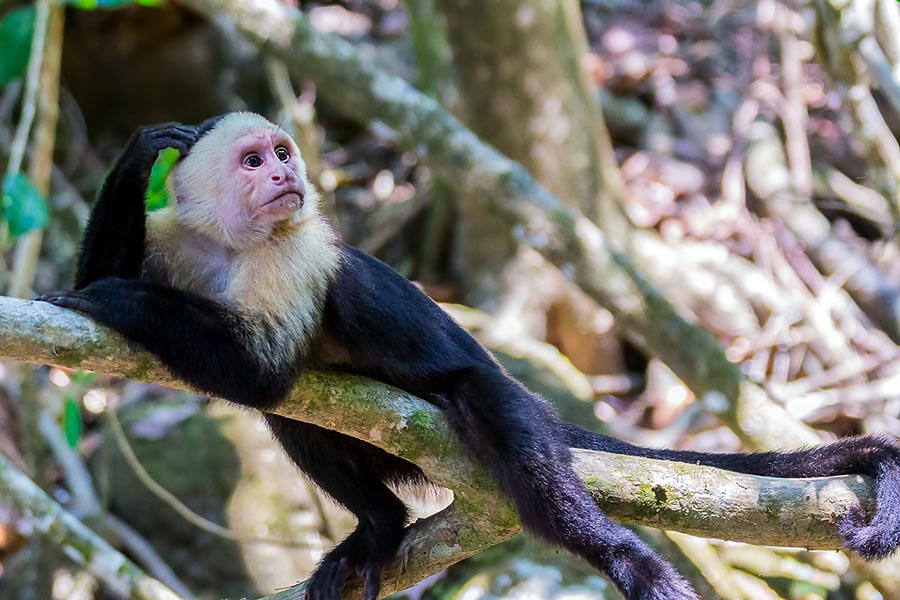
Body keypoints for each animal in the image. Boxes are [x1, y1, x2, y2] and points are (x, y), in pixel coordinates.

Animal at [37, 112, 900, 600]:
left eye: (281, 152)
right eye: (254, 161)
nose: (284, 171)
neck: (231, 246)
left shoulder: (295, 250)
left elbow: (262, 372)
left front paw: (112, 299)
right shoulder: (176, 241)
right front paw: (142, 156)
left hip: (501, 399)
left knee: (506, 434)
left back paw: (626, 559)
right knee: (301, 422)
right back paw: (380, 527)